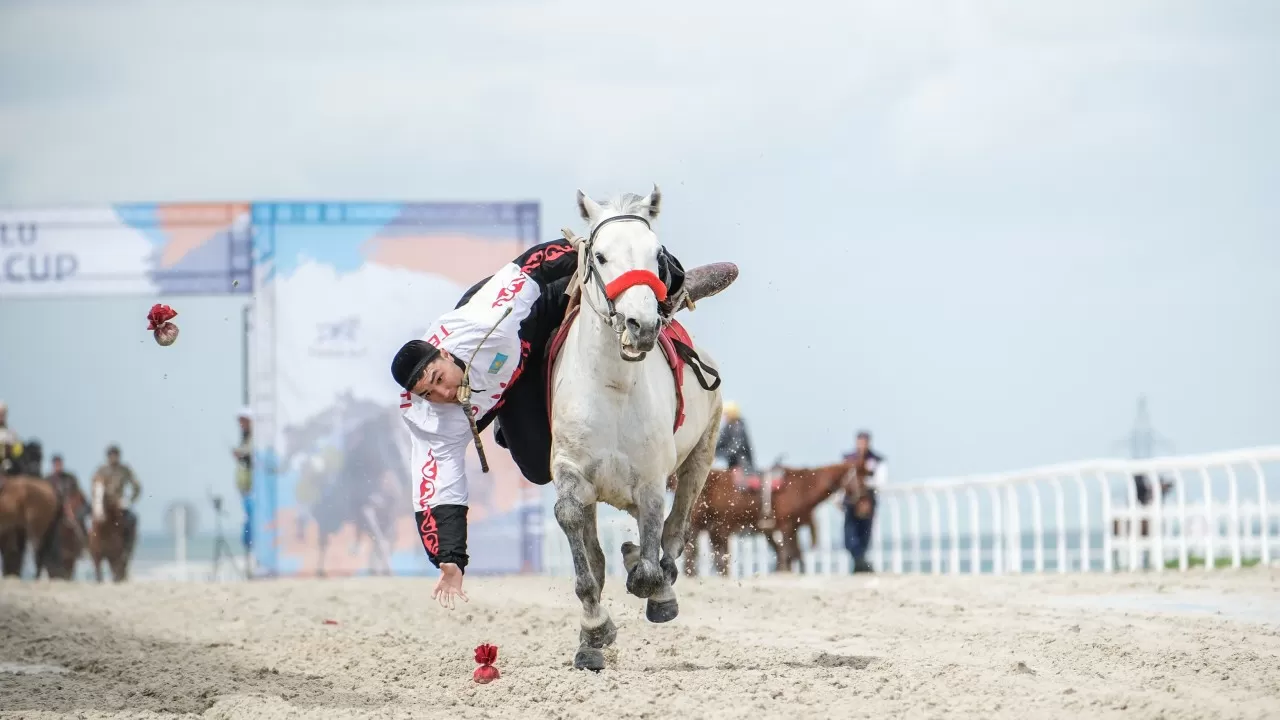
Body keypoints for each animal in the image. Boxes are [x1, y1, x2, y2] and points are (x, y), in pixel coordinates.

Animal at [288, 389, 401, 573]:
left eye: (403, 432)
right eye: (388, 438)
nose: (401, 459)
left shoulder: (390, 510)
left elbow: (384, 538)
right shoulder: (362, 509)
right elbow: (376, 534)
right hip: (327, 520)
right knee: (324, 542)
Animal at [547, 183, 727, 666]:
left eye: (655, 255)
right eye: (601, 256)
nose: (641, 325)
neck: (613, 386)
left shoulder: (650, 477)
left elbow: (651, 551)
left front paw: (650, 583)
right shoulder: (572, 469)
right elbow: (575, 530)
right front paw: (594, 631)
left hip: (702, 453)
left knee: (675, 531)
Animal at [680, 458, 860, 576]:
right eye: (861, 476)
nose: (862, 500)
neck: (801, 486)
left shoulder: (791, 527)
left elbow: (794, 553)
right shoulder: (787, 526)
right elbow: (789, 552)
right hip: (702, 525)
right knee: (693, 550)